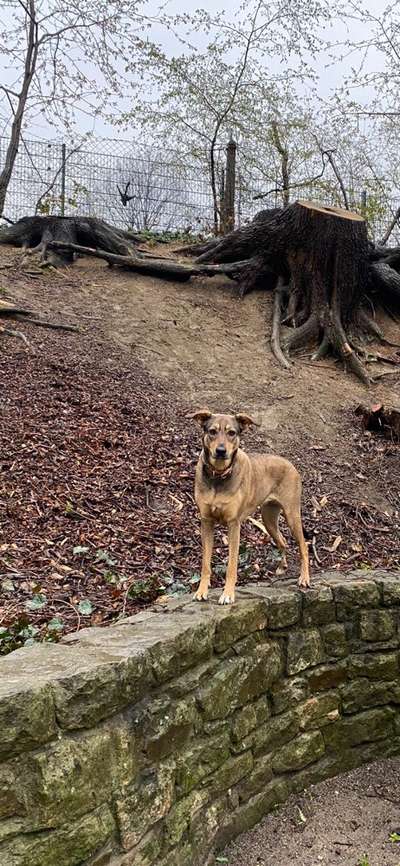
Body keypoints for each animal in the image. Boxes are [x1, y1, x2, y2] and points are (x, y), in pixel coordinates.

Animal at [192, 410, 310, 600]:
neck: (218, 476)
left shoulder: (234, 524)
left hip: (292, 515)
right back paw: (281, 567)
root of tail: (290, 464)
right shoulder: (206, 522)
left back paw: (304, 578)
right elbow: (205, 563)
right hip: (268, 519)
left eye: (232, 433)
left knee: (304, 545)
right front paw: (202, 590)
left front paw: (228, 594)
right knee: (283, 541)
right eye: (212, 431)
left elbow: (232, 564)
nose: (221, 451)